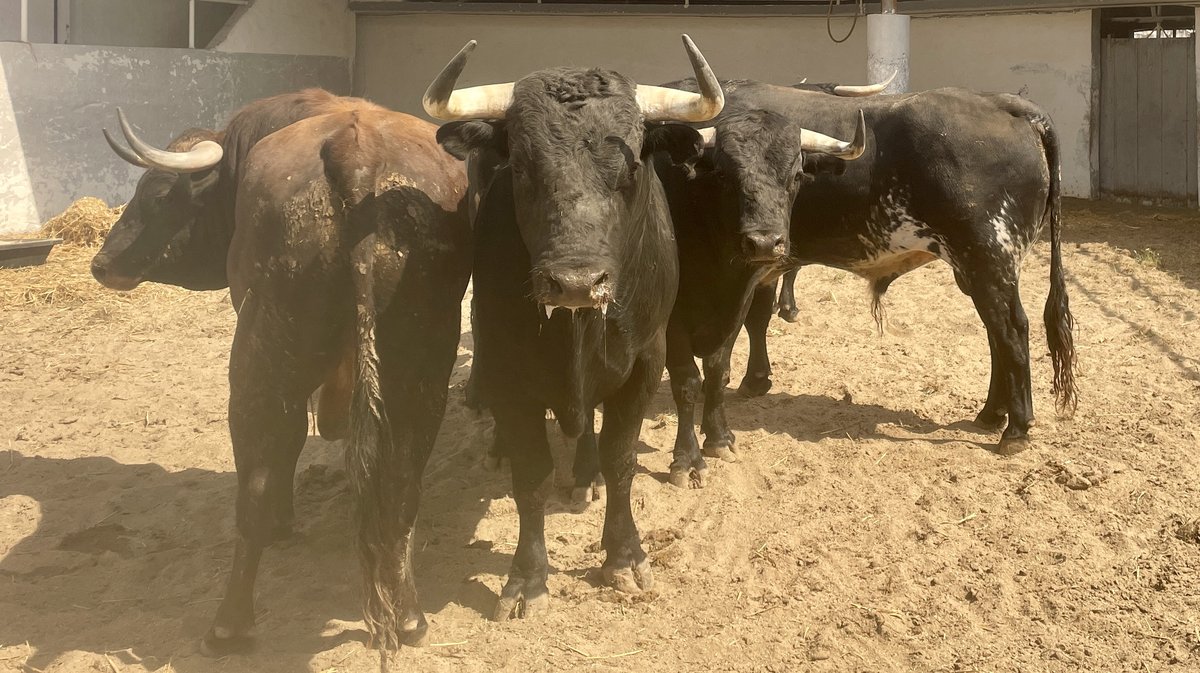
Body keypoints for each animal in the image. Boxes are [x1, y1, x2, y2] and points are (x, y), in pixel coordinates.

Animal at [429, 35, 720, 614]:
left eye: (631, 170)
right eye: (520, 167)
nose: (577, 282)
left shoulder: (645, 362)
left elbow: (620, 459)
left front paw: (624, 557)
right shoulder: (511, 373)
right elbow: (531, 475)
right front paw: (527, 578)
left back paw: (586, 478)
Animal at [657, 79, 1080, 467]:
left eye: (797, 175)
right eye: (724, 175)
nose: (763, 239)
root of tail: (1002, 103)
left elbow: (738, 333)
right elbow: (755, 321)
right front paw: (757, 380)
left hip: (989, 258)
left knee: (1012, 331)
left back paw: (1016, 429)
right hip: (981, 270)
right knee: (996, 336)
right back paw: (992, 414)